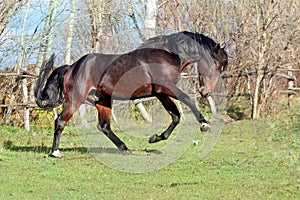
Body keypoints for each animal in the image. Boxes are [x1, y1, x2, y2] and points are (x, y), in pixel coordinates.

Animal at [34, 31, 227, 158]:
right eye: (218, 65)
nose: (206, 92)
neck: (167, 54)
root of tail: (71, 67)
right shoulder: (166, 88)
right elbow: (187, 101)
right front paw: (204, 124)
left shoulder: (161, 93)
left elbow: (176, 116)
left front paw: (155, 138)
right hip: (75, 101)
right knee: (60, 121)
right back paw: (55, 152)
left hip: (102, 101)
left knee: (104, 126)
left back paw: (125, 148)